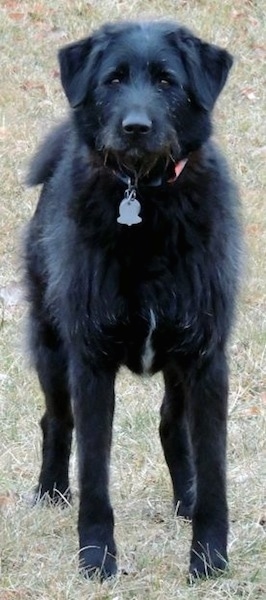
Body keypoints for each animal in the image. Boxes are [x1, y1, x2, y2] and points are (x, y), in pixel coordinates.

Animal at [24, 19, 241, 580]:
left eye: (167, 80)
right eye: (113, 79)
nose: (136, 128)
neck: (145, 203)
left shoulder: (206, 360)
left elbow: (213, 469)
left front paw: (209, 558)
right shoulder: (91, 362)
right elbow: (94, 472)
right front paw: (97, 558)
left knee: (170, 426)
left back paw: (185, 500)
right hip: (51, 349)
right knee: (56, 421)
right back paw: (51, 491)